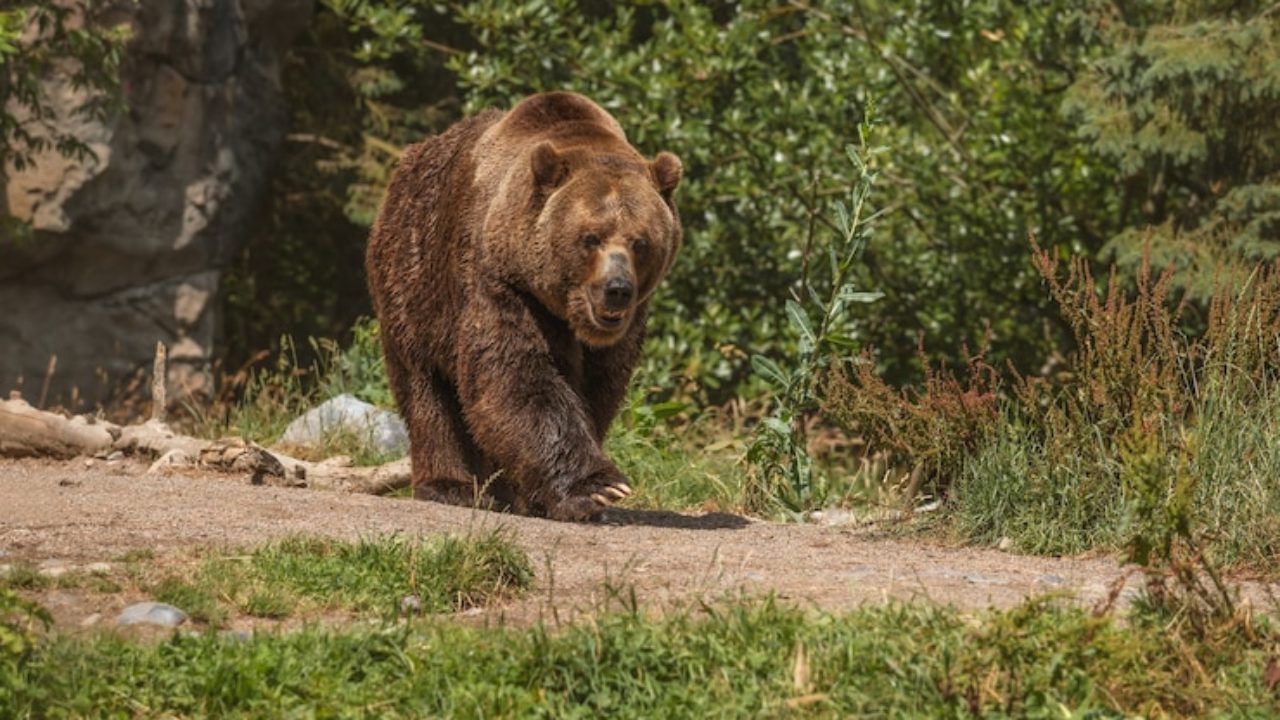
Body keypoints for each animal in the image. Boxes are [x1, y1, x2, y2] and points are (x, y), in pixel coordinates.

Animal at [366, 92, 686, 517]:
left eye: (641, 241)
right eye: (591, 238)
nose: (616, 289)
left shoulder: (622, 329)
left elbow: (599, 389)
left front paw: (543, 495)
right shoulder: (502, 283)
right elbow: (517, 376)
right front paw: (597, 487)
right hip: (413, 279)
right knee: (426, 388)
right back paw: (450, 485)